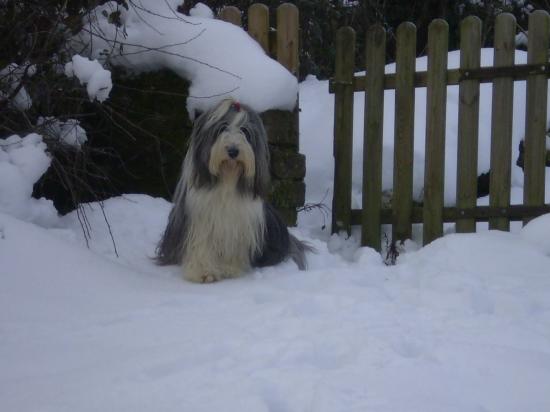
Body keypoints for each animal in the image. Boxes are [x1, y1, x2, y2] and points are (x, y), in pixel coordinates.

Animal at [156, 99, 310, 283]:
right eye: (222, 128)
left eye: (245, 130)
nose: (233, 151)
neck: (227, 179)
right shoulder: (201, 219)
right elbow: (201, 243)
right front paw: (203, 272)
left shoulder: (239, 222)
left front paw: (230, 269)